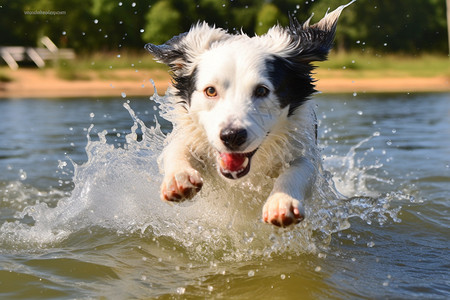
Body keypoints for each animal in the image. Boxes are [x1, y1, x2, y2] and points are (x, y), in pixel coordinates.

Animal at [146, 2, 354, 227]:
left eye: (261, 90)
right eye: (210, 90)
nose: (232, 136)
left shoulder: (302, 145)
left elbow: (301, 167)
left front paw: (282, 201)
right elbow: (176, 148)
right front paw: (179, 177)